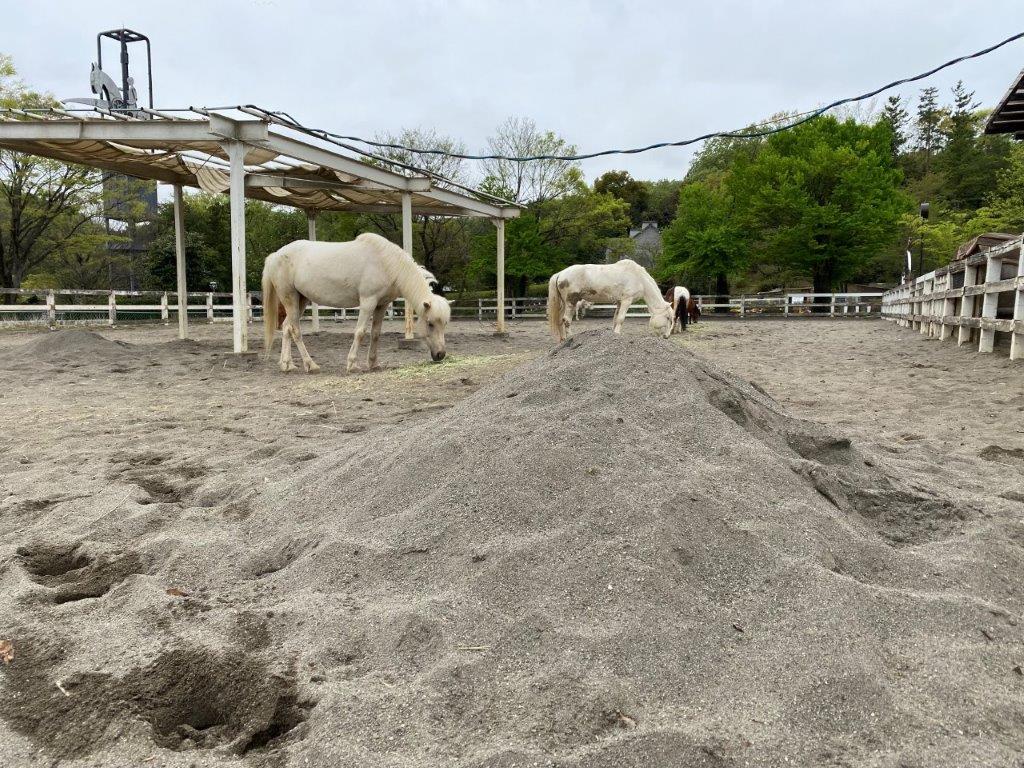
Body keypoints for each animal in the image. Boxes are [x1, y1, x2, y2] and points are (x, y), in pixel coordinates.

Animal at [262, 233, 450, 374]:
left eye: (445, 324)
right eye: (430, 323)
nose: (441, 354)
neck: (386, 263)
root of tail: (275, 255)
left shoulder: (381, 305)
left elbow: (375, 334)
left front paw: (374, 364)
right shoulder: (368, 302)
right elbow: (360, 332)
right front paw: (352, 364)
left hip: (300, 300)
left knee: (286, 327)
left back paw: (287, 365)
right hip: (290, 299)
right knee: (295, 331)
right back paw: (310, 365)